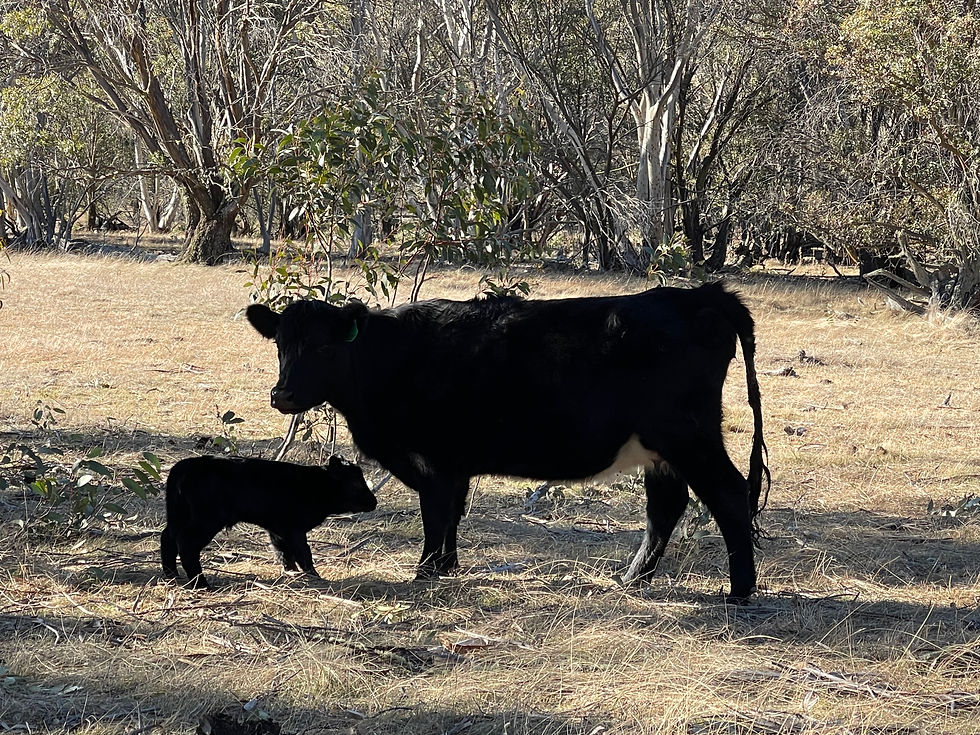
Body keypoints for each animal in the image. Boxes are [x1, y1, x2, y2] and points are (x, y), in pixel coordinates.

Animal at [160, 454, 377, 588]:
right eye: (357, 484)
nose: (374, 502)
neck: (314, 484)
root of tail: (184, 466)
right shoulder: (295, 529)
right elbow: (303, 554)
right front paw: (315, 577)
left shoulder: (278, 530)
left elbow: (285, 555)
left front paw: (292, 575)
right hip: (206, 520)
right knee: (186, 543)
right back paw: (201, 584)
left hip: (179, 516)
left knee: (167, 537)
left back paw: (172, 575)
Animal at [246, 282, 769, 601]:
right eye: (280, 344)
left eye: (323, 346)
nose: (282, 395)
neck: (386, 357)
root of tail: (700, 294)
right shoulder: (452, 464)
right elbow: (450, 514)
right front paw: (446, 567)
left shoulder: (433, 459)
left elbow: (435, 513)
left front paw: (426, 571)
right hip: (662, 448)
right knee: (666, 505)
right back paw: (631, 577)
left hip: (689, 436)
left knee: (727, 493)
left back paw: (739, 590)